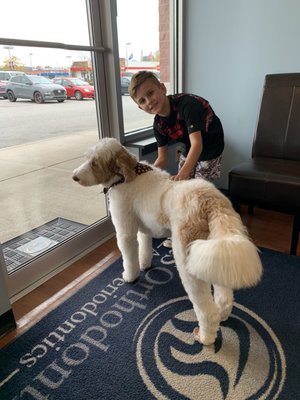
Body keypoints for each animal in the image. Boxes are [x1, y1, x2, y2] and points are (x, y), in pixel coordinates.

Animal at [72, 138, 262, 344]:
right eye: (86, 158)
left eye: (94, 163)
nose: (74, 177)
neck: (126, 177)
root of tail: (211, 201)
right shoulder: (143, 230)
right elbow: (145, 248)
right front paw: (145, 264)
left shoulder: (125, 232)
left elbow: (129, 258)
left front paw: (130, 276)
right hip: (214, 254)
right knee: (224, 294)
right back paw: (223, 313)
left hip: (189, 261)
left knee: (206, 311)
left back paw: (205, 337)